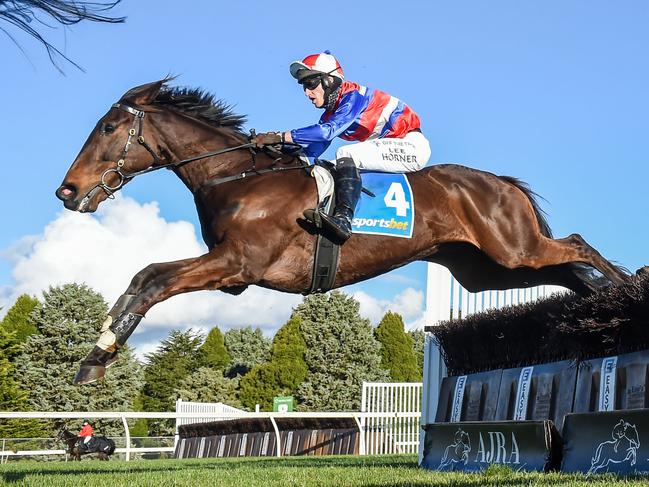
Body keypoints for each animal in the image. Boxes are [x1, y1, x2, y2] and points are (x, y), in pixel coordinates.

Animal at [53, 79, 632, 386]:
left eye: (108, 128)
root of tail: (501, 184)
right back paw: (601, 303)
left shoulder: (236, 264)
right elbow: (144, 275)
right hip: (486, 271)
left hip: (514, 248)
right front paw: (97, 351)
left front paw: (98, 356)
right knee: (567, 271)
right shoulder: (230, 272)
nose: (66, 190)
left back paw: (626, 288)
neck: (237, 175)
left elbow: (155, 279)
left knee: (577, 245)